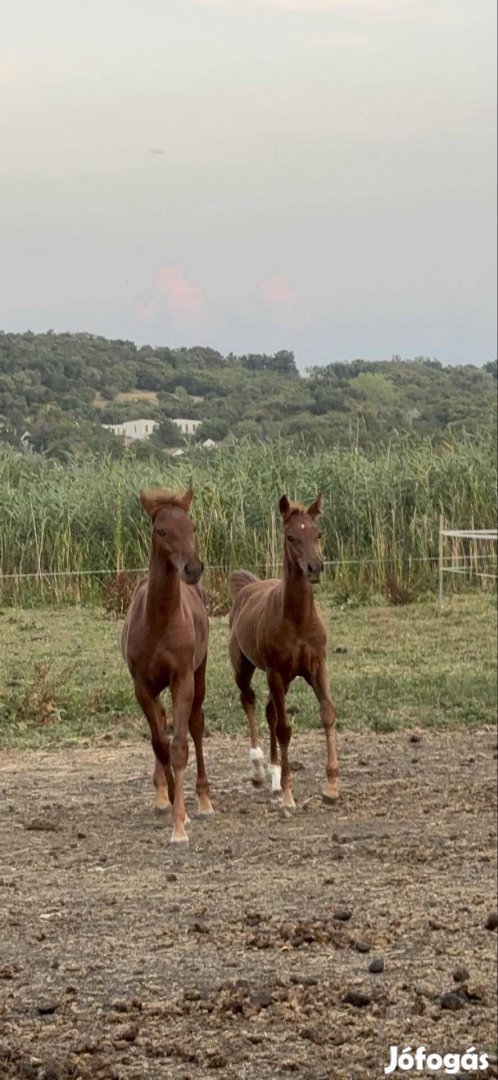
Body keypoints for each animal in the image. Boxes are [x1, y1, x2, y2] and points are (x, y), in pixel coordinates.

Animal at [122, 486, 213, 846]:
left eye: (193, 527)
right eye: (161, 531)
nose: (192, 568)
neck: (159, 621)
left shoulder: (182, 678)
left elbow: (179, 745)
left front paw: (181, 821)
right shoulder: (142, 686)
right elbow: (160, 743)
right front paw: (173, 803)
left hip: (200, 674)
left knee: (196, 725)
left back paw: (204, 801)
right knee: (161, 723)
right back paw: (163, 796)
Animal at [227, 494, 337, 807]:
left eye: (318, 533)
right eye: (291, 536)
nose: (315, 568)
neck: (297, 620)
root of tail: (248, 587)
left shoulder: (317, 666)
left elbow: (327, 713)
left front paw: (331, 787)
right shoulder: (275, 672)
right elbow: (285, 729)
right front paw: (288, 796)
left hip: (285, 679)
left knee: (269, 712)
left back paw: (274, 775)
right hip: (245, 668)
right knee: (249, 701)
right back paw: (258, 770)